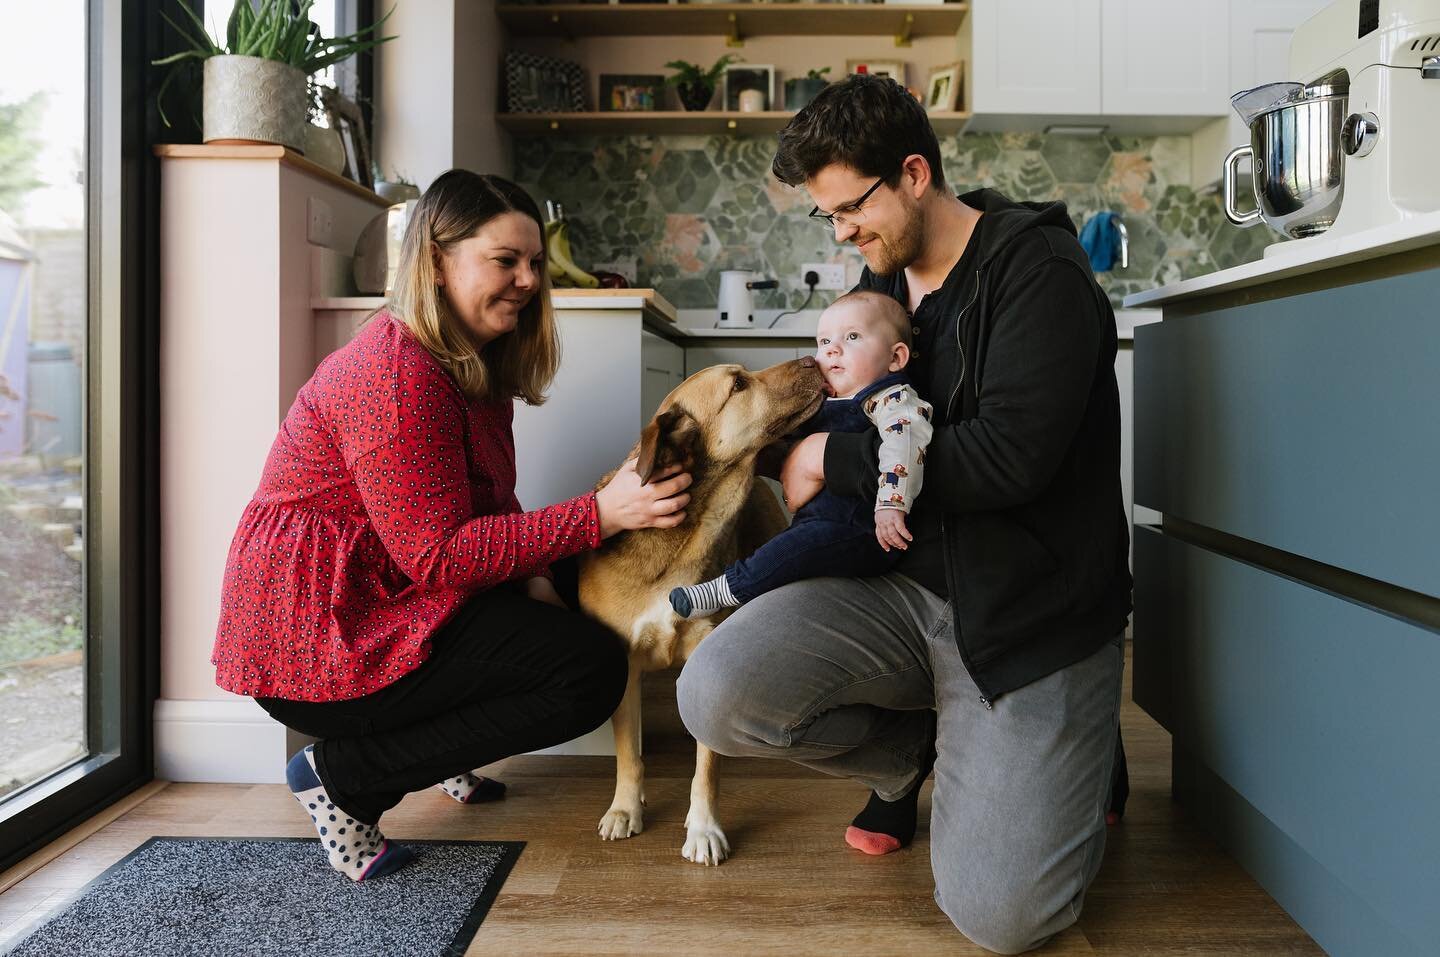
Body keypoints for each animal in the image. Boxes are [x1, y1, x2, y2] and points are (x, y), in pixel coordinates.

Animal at [573, 354, 823, 863]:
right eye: (738, 385)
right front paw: (626, 808)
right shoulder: (625, 667)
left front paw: (704, 827)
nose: (812, 356)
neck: (689, 533)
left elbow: (706, 767)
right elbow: (629, 755)